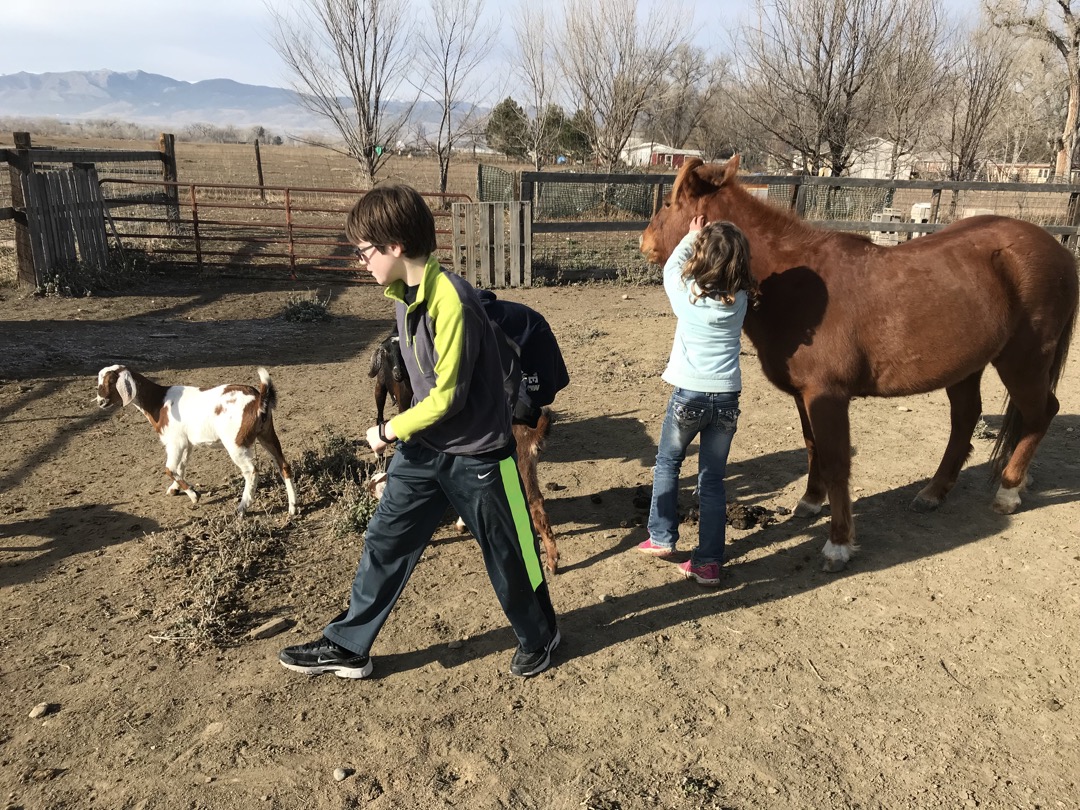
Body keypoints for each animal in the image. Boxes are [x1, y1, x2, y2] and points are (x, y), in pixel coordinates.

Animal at [95, 365, 298, 516]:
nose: (100, 401)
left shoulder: (175, 442)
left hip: (236, 442)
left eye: (111, 381)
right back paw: (293, 507)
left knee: (251, 471)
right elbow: (181, 466)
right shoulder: (187, 443)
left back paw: (242, 508)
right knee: (283, 465)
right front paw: (175, 489)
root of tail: (258, 400)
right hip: (267, 434)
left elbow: (169, 469)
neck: (157, 402)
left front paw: (194, 495)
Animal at [368, 340, 561, 573]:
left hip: (520, 468)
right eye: (387, 355)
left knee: (534, 505)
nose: (396, 375)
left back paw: (551, 561)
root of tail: (532, 432)